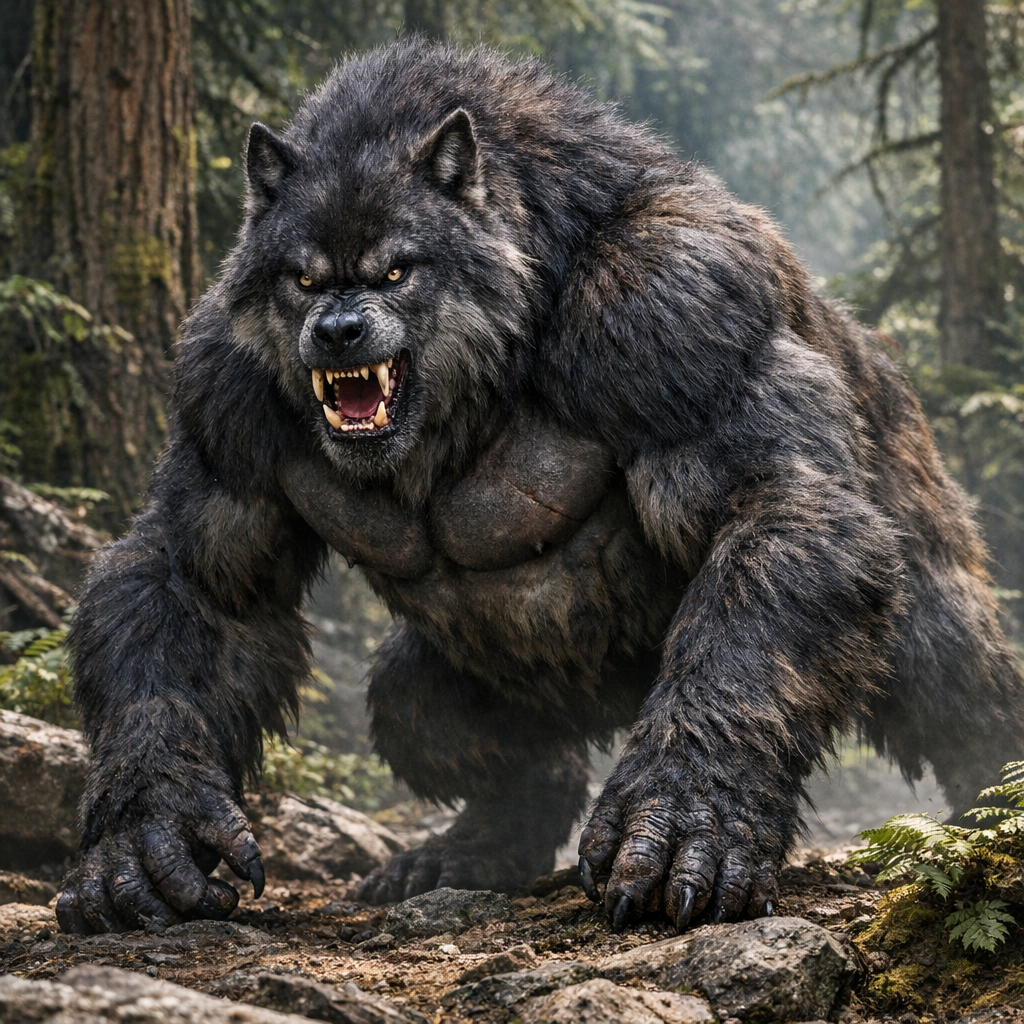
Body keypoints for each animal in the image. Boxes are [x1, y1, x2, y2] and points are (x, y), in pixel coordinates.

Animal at [57, 39, 1024, 935]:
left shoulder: (671, 309)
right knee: (415, 708)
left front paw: (687, 811)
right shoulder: (222, 384)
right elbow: (200, 581)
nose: (336, 330)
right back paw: (483, 838)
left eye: (398, 269)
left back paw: (992, 797)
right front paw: (147, 829)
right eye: (303, 277)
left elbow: (774, 506)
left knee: (945, 670)